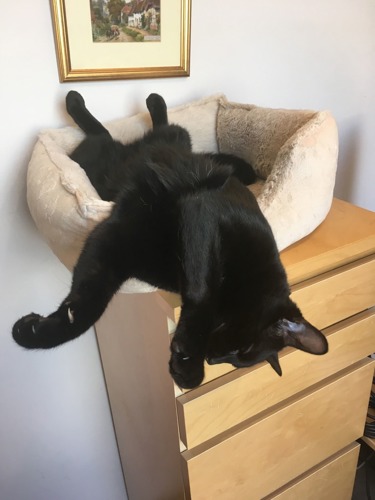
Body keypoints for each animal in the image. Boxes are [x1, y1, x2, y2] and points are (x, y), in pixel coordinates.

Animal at [12, 92, 328, 388]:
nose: (212, 359)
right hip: (158, 143)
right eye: (238, 351)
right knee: (122, 131)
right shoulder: (202, 214)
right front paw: (189, 362)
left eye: (235, 361)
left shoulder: (119, 243)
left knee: (106, 137)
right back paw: (102, 101)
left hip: (103, 170)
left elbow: (88, 298)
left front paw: (40, 328)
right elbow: (202, 292)